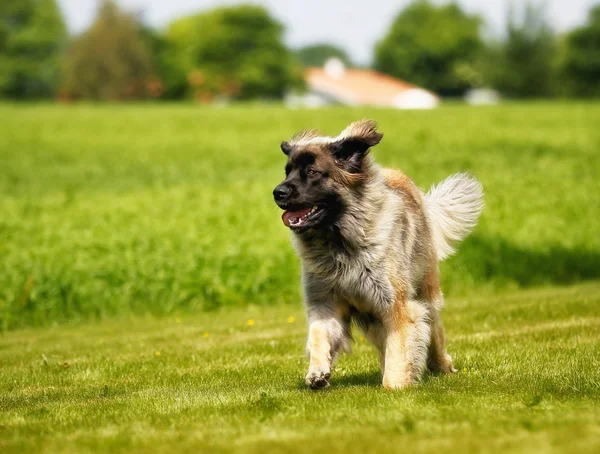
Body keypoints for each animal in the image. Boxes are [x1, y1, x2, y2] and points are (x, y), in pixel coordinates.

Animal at [272, 119, 482, 388]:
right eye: (287, 171)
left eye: (312, 172)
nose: (277, 192)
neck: (340, 244)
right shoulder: (325, 302)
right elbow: (319, 335)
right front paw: (317, 372)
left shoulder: (396, 306)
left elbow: (400, 347)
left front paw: (396, 385)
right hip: (371, 316)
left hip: (426, 293)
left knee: (434, 331)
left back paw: (442, 366)